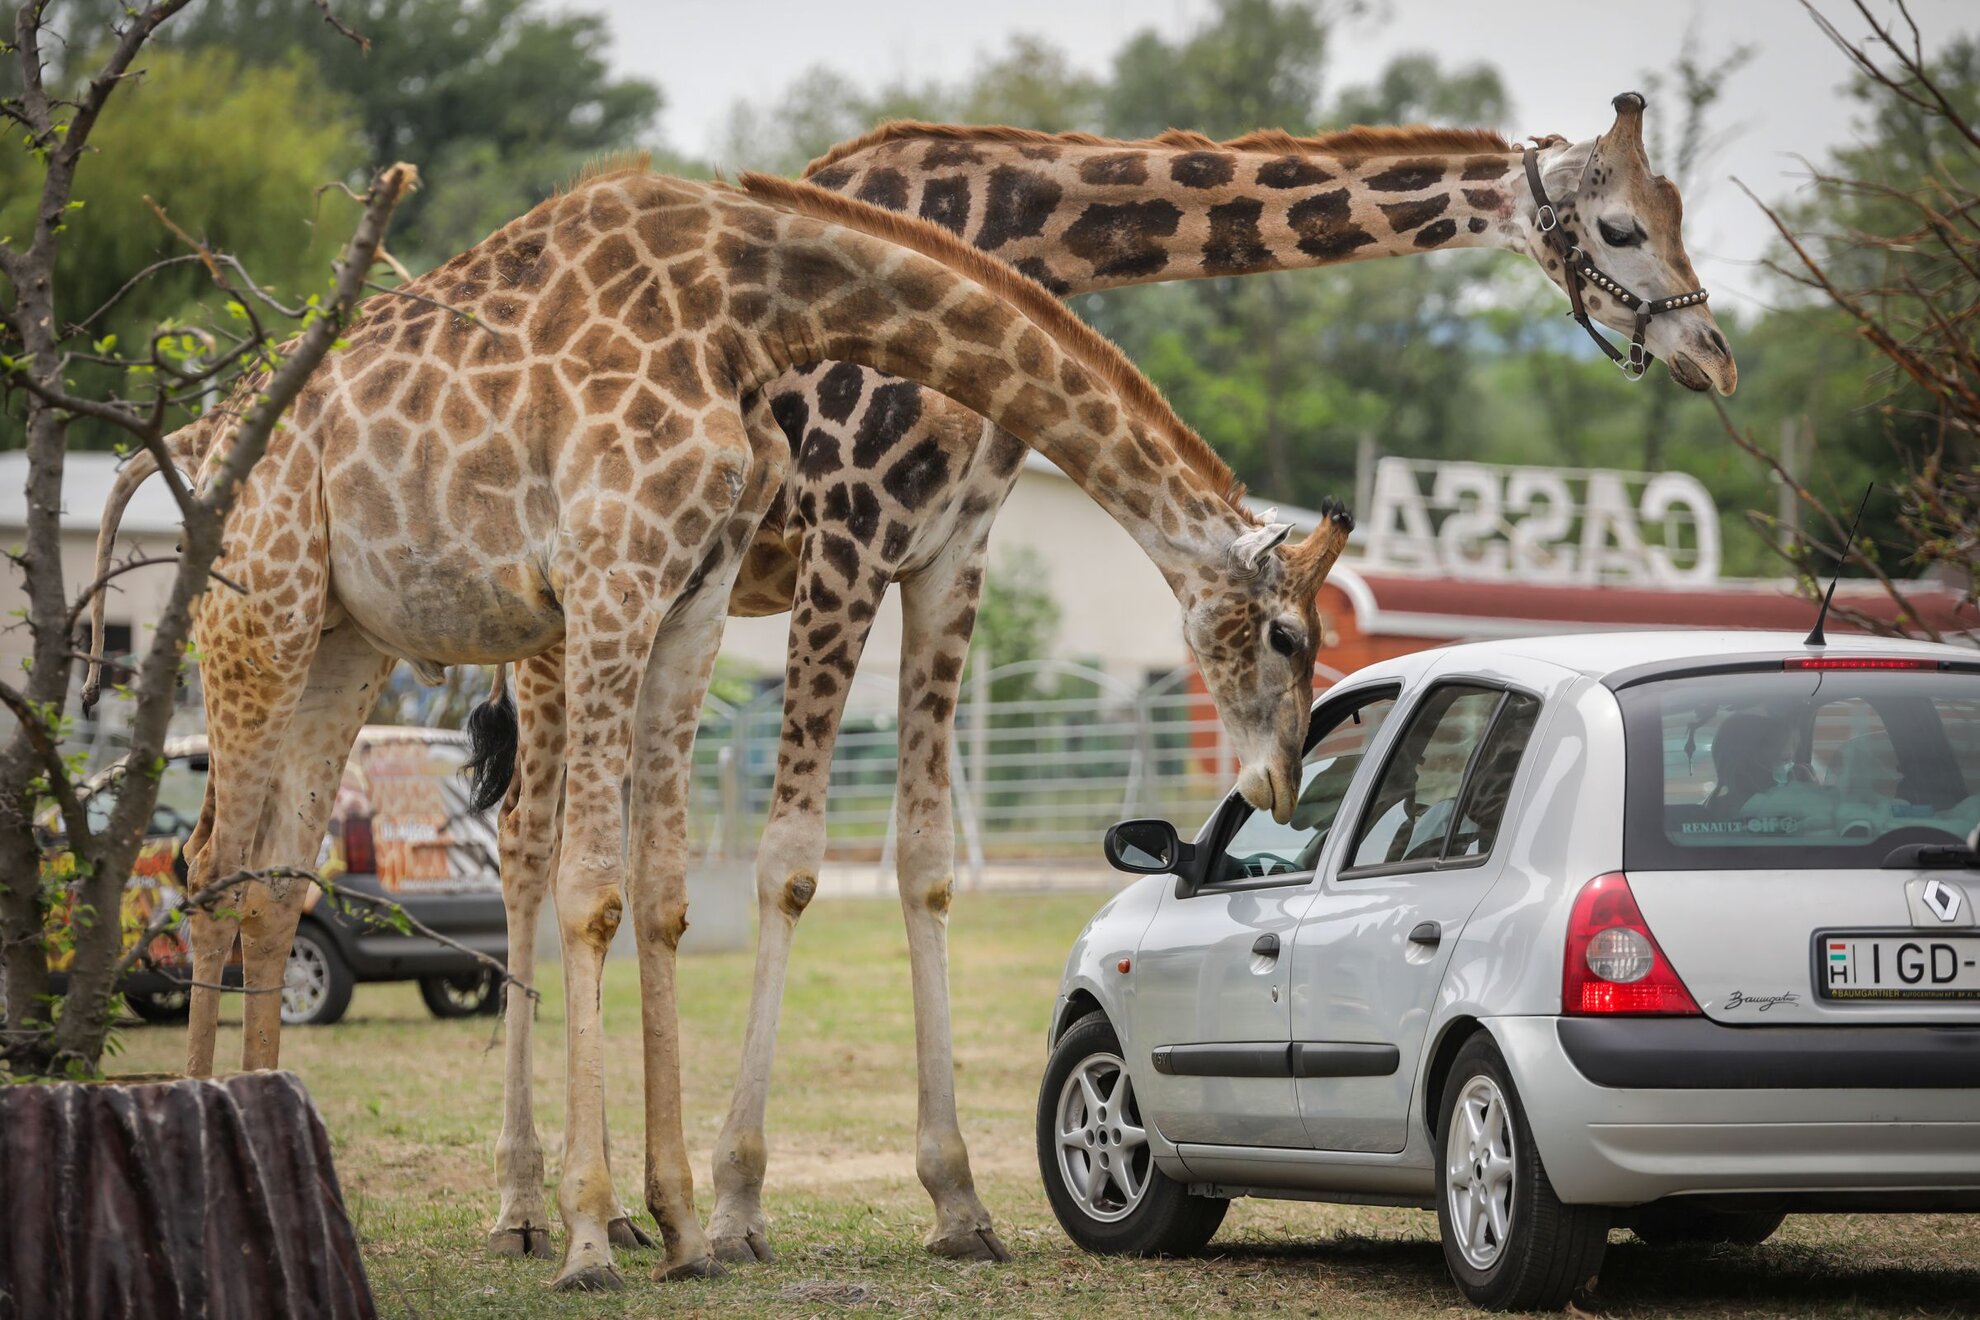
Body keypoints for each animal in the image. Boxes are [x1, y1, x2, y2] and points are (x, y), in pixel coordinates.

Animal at [81, 160, 1346, 1282]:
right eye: (1291, 636)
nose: (1281, 784)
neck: (746, 304)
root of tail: (193, 444)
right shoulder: (616, 579)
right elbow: (596, 894)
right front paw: (597, 1239)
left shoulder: (691, 594)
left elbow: (665, 898)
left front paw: (685, 1230)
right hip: (262, 606)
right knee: (213, 858)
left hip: (349, 634)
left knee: (277, 873)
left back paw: (277, 1131)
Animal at [463, 90, 1734, 1266]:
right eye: (1622, 224)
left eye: (1678, 212)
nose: (1713, 357)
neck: (1013, 235)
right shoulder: (847, 537)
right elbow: (789, 862)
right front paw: (735, 1206)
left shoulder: (949, 553)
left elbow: (925, 863)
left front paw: (957, 1202)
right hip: (561, 604)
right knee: (526, 842)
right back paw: (530, 1207)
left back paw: (619, 1210)